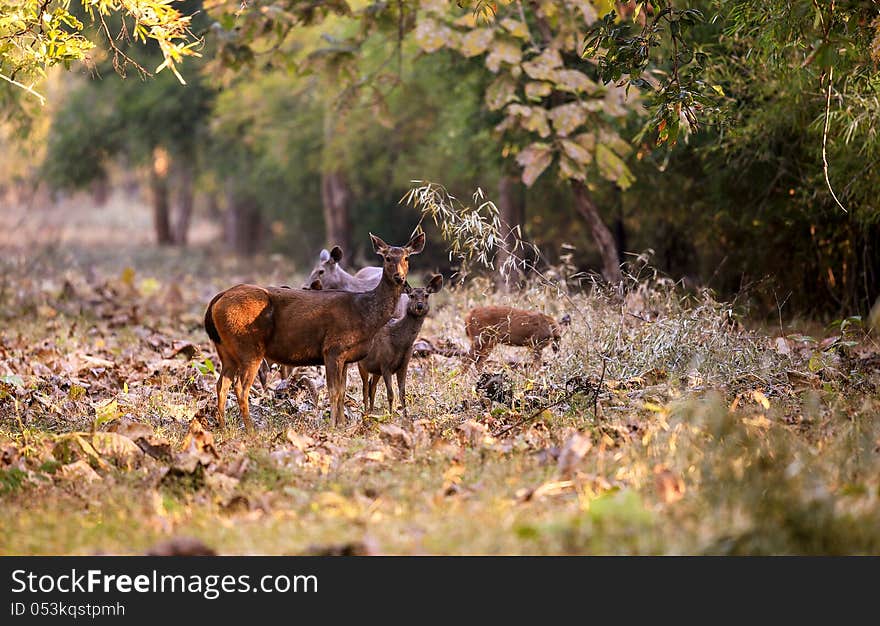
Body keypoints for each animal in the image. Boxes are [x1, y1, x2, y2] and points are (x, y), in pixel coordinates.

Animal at [203, 232, 422, 432]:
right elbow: (333, 391)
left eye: (406, 257)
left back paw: (223, 427)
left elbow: (342, 391)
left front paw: (342, 425)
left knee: (221, 385)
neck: (365, 313)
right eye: (387, 258)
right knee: (240, 388)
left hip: (226, 350)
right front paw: (333, 426)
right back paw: (251, 431)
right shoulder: (333, 348)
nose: (400, 278)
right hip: (249, 346)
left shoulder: (346, 357)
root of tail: (216, 300)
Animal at [356, 272, 444, 414]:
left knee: (371, 386)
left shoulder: (403, 365)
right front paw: (391, 415)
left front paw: (405, 415)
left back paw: (372, 411)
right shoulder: (385, 364)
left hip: (375, 369)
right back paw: (366, 413)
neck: (400, 344)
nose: (419, 306)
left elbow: (402, 393)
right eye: (411, 295)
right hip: (361, 363)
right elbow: (390, 394)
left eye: (426, 295)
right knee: (364, 388)